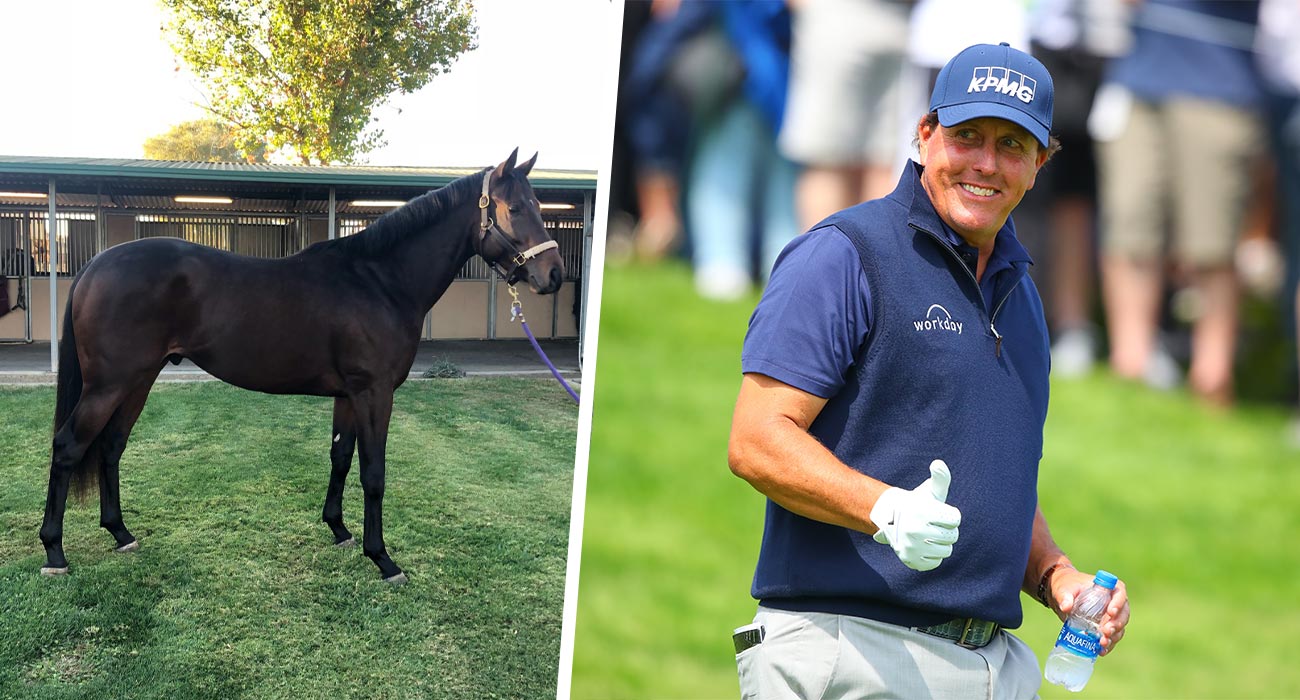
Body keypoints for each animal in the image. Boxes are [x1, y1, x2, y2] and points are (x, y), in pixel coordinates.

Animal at [38, 149, 565, 584]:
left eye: (540, 206)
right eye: (515, 208)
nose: (554, 275)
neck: (379, 280)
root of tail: (94, 266)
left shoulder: (348, 395)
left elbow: (341, 457)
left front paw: (340, 531)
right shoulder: (375, 393)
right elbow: (374, 472)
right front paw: (383, 559)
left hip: (138, 381)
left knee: (110, 447)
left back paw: (121, 534)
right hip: (109, 384)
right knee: (68, 447)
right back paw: (55, 553)